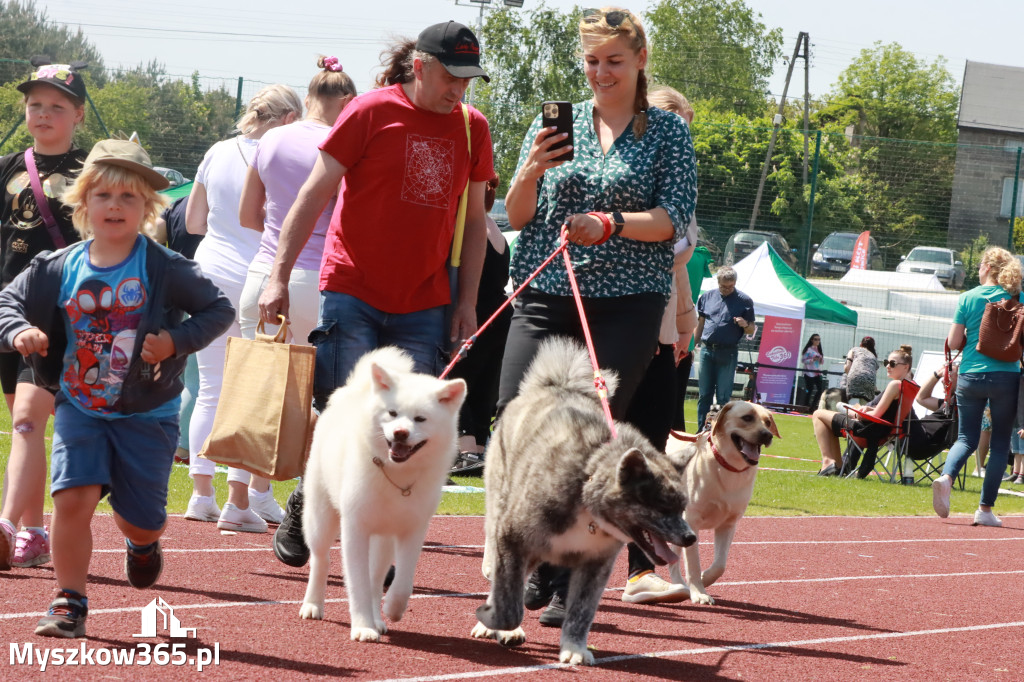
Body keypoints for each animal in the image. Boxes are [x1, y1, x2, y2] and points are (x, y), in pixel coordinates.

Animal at [299, 348, 466, 638]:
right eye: (392, 413)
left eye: (420, 418)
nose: (400, 433)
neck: (396, 474)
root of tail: (354, 390)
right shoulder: (355, 528)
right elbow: (358, 584)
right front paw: (363, 627)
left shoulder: (413, 529)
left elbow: (402, 580)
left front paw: (392, 609)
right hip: (321, 517)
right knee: (321, 560)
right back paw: (313, 605)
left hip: (383, 539)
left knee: (376, 577)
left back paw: (379, 617)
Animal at [468, 335, 696, 663]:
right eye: (662, 506)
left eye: (682, 508)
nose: (690, 538)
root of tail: (555, 384)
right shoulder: (512, 539)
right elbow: (508, 606)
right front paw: (493, 621)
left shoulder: (594, 566)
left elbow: (581, 612)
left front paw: (574, 648)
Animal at [663, 399, 774, 602]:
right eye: (747, 418)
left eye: (768, 422)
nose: (767, 435)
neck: (728, 468)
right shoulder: (692, 521)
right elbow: (693, 564)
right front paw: (699, 593)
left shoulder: (729, 523)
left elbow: (720, 564)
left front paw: (705, 578)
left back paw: (679, 586)